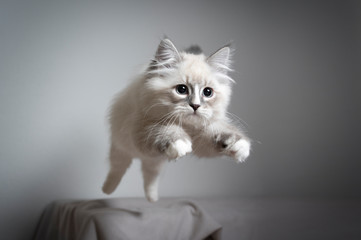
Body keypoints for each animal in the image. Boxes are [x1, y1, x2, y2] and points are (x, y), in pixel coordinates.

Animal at [100, 38, 248, 202]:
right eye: (182, 90)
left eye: (207, 92)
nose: (195, 106)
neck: (186, 127)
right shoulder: (144, 130)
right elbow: (166, 130)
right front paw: (180, 143)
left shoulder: (202, 137)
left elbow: (221, 133)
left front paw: (239, 146)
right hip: (122, 150)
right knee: (117, 170)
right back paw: (107, 190)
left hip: (154, 161)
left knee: (150, 176)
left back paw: (152, 198)